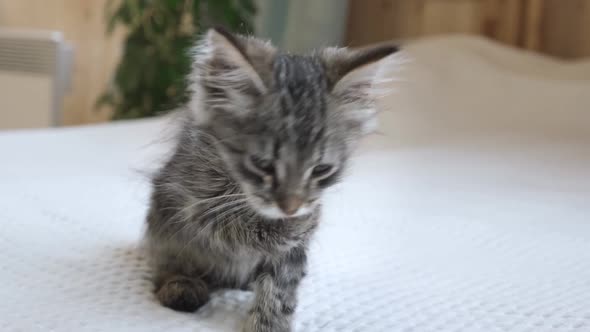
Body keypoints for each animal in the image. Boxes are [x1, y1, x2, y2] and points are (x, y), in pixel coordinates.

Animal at [146, 27, 400, 330]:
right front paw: (289, 226)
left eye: (320, 170)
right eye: (262, 164)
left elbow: (279, 288)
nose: (291, 207)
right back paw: (180, 286)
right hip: (163, 229)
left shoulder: (292, 254)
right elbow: (241, 228)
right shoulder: (191, 200)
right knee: (167, 263)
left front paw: (269, 323)